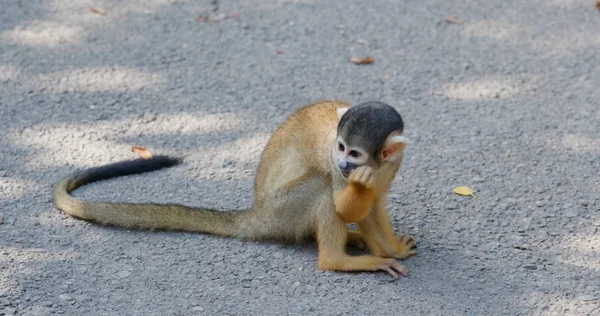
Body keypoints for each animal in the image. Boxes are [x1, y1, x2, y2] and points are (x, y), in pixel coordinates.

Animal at [54, 100, 414, 278]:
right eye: (340, 147)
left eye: (355, 153)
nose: (342, 164)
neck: (374, 166)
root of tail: (258, 214)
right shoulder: (332, 160)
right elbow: (345, 204)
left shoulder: (390, 164)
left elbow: (373, 205)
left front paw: (391, 248)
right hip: (282, 210)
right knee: (323, 187)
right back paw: (336, 261)